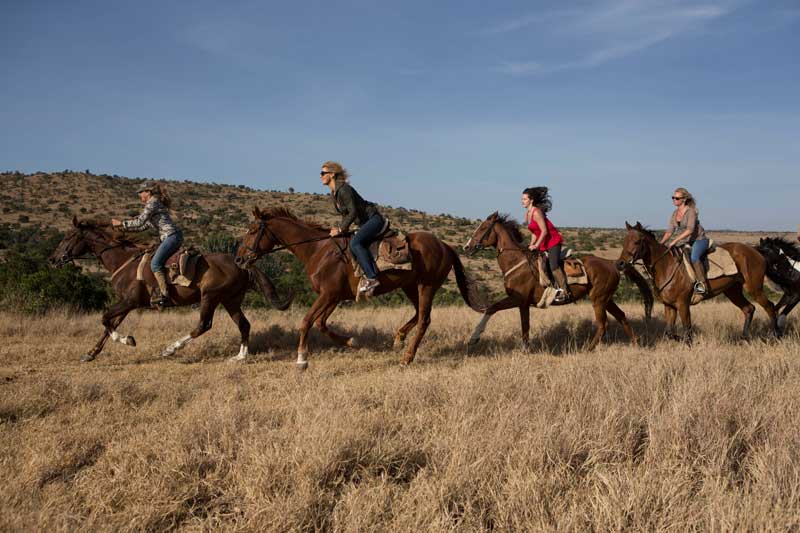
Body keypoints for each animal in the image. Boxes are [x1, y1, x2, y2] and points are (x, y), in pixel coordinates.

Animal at [47, 216, 290, 362]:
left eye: (68, 236)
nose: (52, 259)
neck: (123, 260)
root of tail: (241, 263)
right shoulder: (126, 304)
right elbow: (109, 326)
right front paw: (91, 353)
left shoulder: (129, 302)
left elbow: (105, 319)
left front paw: (128, 340)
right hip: (230, 300)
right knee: (244, 325)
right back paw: (240, 357)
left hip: (210, 297)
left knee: (203, 325)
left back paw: (170, 349)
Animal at [234, 205, 488, 366]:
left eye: (253, 231)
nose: (238, 259)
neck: (318, 250)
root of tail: (445, 245)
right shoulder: (333, 297)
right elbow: (321, 324)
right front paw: (351, 342)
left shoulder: (328, 295)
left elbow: (306, 321)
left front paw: (301, 358)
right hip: (410, 286)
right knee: (419, 315)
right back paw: (399, 338)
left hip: (426, 286)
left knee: (424, 319)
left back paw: (407, 357)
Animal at [460, 212, 652, 350]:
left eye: (483, 228)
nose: (467, 247)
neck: (516, 261)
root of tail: (612, 263)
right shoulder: (523, 303)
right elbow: (522, 325)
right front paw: (525, 349)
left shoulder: (518, 299)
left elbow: (494, 310)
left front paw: (474, 338)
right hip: (606, 299)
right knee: (621, 316)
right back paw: (636, 345)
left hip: (598, 300)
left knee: (603, 325)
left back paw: (587, 349)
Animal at [616, 220, 780, 340]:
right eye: (624, 242)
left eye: (637, 241)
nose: (620, 264)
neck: (666, 266)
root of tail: (756, 252)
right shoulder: (670, 306)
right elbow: (670, 333)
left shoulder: (683, 305)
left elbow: (687, 332)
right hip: (732, 291)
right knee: (749, 309)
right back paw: (745, 337)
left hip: (754, 288)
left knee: (770, 307)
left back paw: (776, 335)